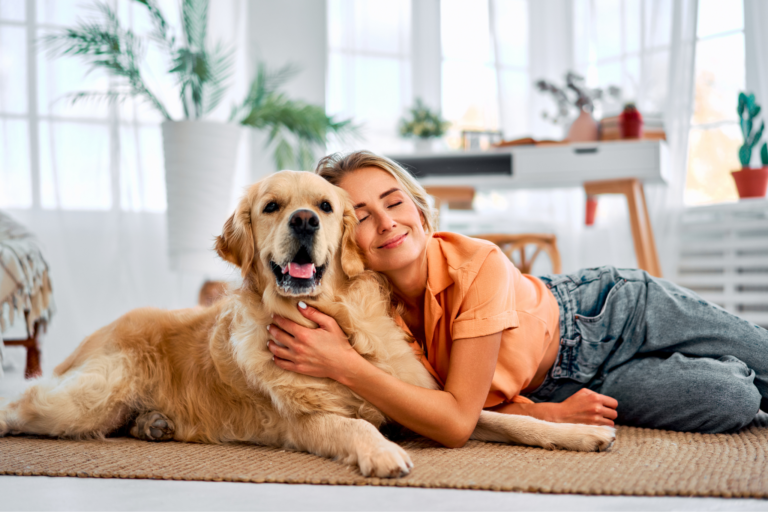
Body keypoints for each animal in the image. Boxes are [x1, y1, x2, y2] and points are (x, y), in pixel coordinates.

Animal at [0, 171, 612, 476]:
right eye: (272, 206)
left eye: (327, 206)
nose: (303, 220)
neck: (337, 322)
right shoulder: (306, 421)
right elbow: (356, 427)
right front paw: (383, 454)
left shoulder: (430, 405)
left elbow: (506, 419)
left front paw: (581, 434)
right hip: (88, 398)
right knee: (23, 402)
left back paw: (155, 424)